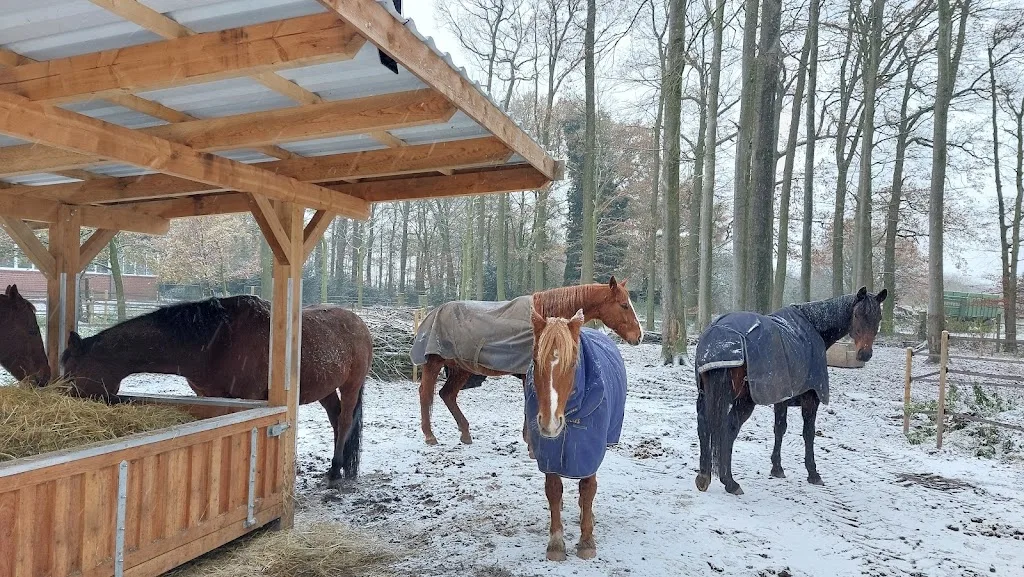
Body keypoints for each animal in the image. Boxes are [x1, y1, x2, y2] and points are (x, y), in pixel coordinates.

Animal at [59, 295, 373, 487]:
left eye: (71, 373)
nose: (64, 401)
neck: (215, 342)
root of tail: (359, 322)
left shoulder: (250, 397)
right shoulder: (208, 395)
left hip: (351, 384)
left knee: (345, 419)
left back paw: (335, 469)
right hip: (325, 389)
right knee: (335, 420)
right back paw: (340, 466)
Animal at [412, 276, 642, 449]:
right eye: (624, 305)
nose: (639, 336)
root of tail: (434, 312)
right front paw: (531, 442)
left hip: (461, 368)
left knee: (447, 395)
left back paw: (465, 433)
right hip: (434, 364)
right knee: (426, 394)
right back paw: (430, 436)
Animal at [525, 308, 627, 561]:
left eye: (572, 363)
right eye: (535, 360)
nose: (550, 423)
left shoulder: (590, 448)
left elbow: (588, 489)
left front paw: (587, 540)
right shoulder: (549, 453)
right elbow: (553, 491)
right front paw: (556, 544)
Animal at [693, 287, 887, 495]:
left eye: (878, 317)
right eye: (857, 315)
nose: (864, 354)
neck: (814, 326)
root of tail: (718, 334)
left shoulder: (782, 396)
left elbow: (780, 428)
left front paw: (777, 468)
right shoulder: (812, 397)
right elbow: (808, 433)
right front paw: (813, 473)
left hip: (707, 396)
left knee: (704, 424)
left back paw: (704, 477)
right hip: (742, 400)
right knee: (728, 429)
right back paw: (729, 481)